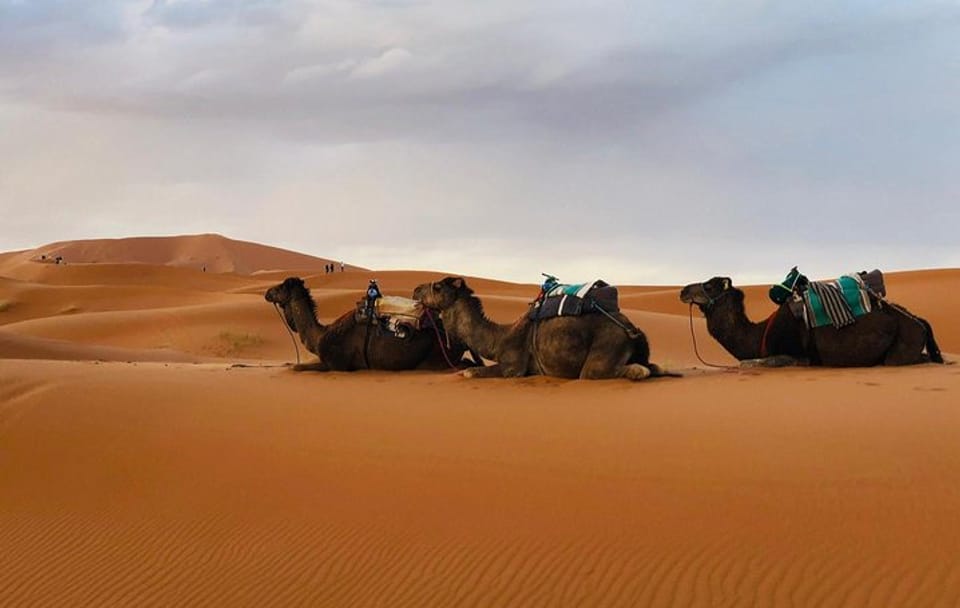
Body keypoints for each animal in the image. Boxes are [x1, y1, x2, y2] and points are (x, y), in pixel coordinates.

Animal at [264, 277, 473, 371]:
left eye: (280, 287)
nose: (267, 293)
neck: (320, 335)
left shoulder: (337, 365)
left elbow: (297, 368)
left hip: (433, 359)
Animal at [413, 276, 674, 380]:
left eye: (438, 287)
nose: (416, 289)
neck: (499, 338)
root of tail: (632, 329)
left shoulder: (513, 366)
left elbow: (470, 372)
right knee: (653, 367)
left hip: (605, 349)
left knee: (625, 371)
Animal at [680, 276, 944, 367]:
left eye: (708, 285)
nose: (683, 291)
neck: (760, 334)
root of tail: (919, 321)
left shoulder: (795, 356)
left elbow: (748, 363)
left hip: (901, 346)